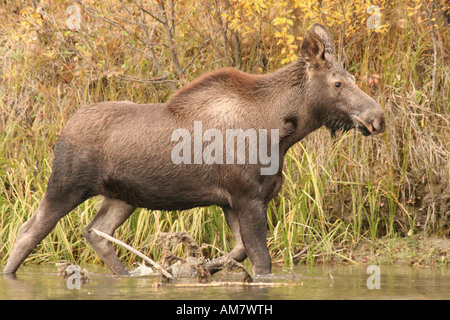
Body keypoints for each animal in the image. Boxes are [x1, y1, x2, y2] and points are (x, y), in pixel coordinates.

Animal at [2, 23, 384, 276]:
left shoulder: (232, 201)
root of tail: (63, 128)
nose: (377, 117)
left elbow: (239, 251)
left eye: (353, 78)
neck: (280, 133)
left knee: (96, 232)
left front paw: (204, 267)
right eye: (338, 83)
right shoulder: (246, 196)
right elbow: (262, 261)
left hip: (122, 197)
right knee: (28, 230)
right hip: (66, 185)